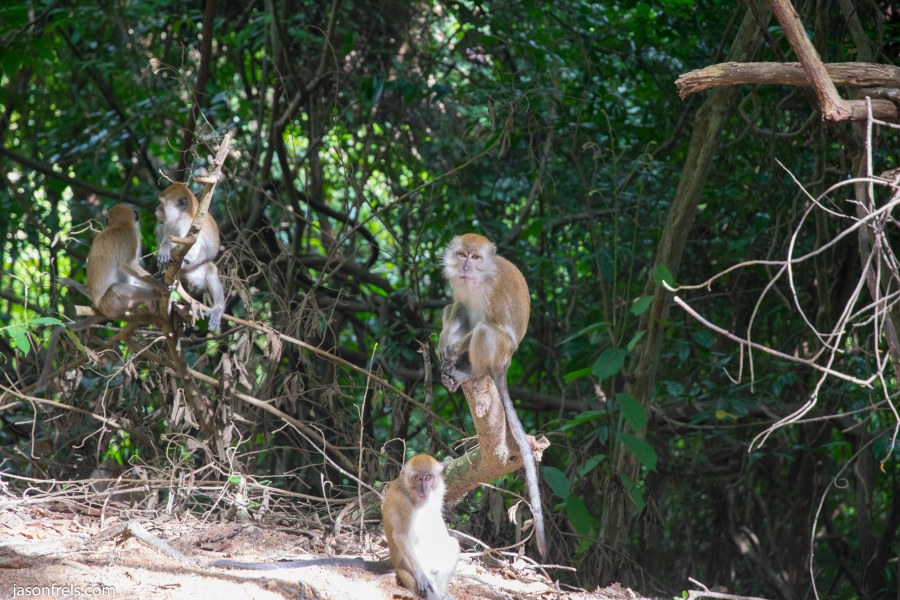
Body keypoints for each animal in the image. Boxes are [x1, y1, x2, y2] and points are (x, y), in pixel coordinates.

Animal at [155, 182, 225, 330]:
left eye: (161, 203)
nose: (156, 208)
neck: (181, 216)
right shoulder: (169, 223)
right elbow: (165, 233)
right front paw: (164, 249)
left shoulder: (189, 225)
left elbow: (193, 249)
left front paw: (166, 249)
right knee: (160, 227)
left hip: (195, 272)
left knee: (209, 269)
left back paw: (218, 309)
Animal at [211, 454, 459, 599]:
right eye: (418, 479)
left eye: (428, 477)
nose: (424, 488)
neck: (414, 495)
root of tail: (392, 560)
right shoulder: (402, 501)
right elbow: (401, 534)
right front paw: (422, 577)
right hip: (405, 565)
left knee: (451, 545)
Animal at [437, 233, 547, 558]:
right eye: (462, 255)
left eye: (475, 258)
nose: (465, 267)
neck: (477, 280)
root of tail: (505, 365)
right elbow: (458, 307)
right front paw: (444, 341)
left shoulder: (492, 293)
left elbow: (489, 326)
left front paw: (454, 349)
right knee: (451, 310)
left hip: (499, 354)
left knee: (486, 331)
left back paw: (469, 372)